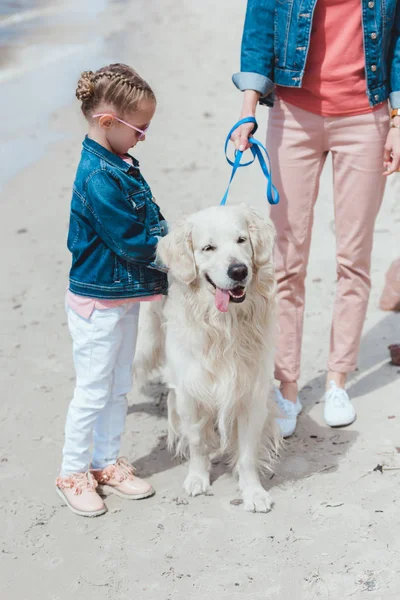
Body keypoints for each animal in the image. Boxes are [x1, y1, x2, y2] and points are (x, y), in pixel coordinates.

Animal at [136, 205, 280, 510]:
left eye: (241, 240)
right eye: (208, 248)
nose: (238, 270)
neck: (224, 327)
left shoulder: (251, 391)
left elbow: (247, 452)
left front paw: (253, 492)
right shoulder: (190, 392)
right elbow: (197, 441)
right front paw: (197, 478)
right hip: (143, 346)